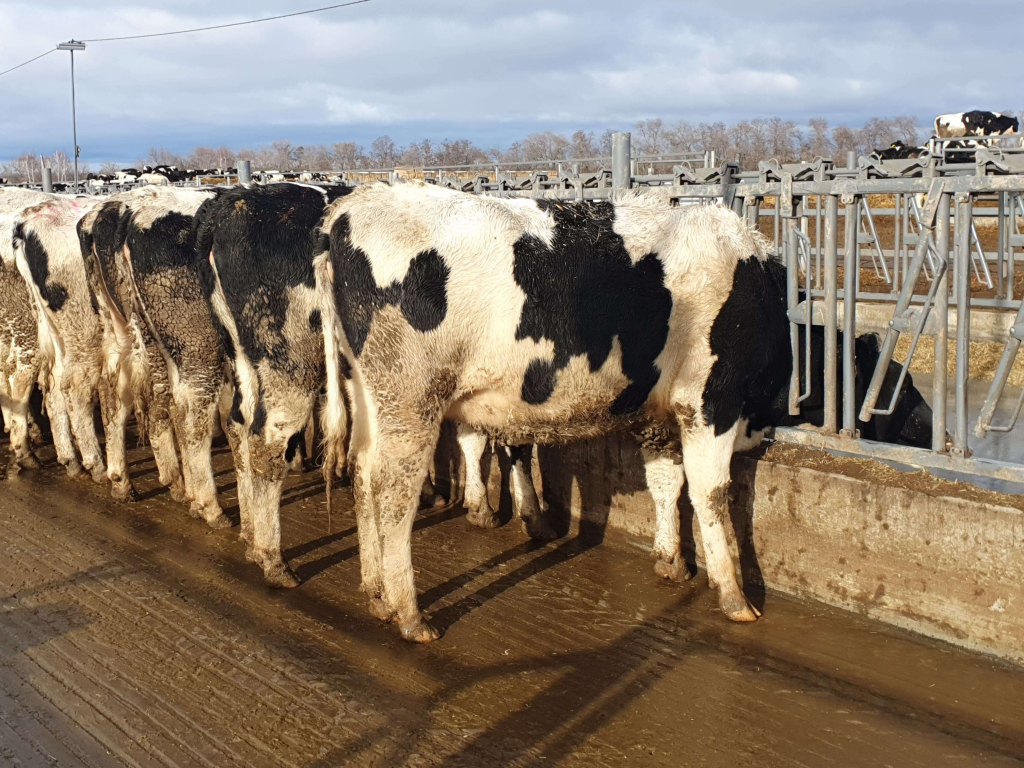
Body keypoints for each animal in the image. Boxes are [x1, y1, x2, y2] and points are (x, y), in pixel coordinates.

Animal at [193, 182, 352, 586]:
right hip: (290, 365)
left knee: (238, 423)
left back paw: (250, 535)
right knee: (265, 441)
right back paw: (272, 559)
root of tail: (230, 203)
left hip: (243, 356)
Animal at [311, 182, 790, 641]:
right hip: (412, 399)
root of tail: (349, 209)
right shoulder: (711, 398)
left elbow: (666, 483)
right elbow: (712, 492)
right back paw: (410, 615)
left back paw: (376, 594)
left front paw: (671, 561)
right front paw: (734, 596)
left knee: (362, 474)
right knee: (393, 493)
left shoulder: (659, 413)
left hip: (367, 394)